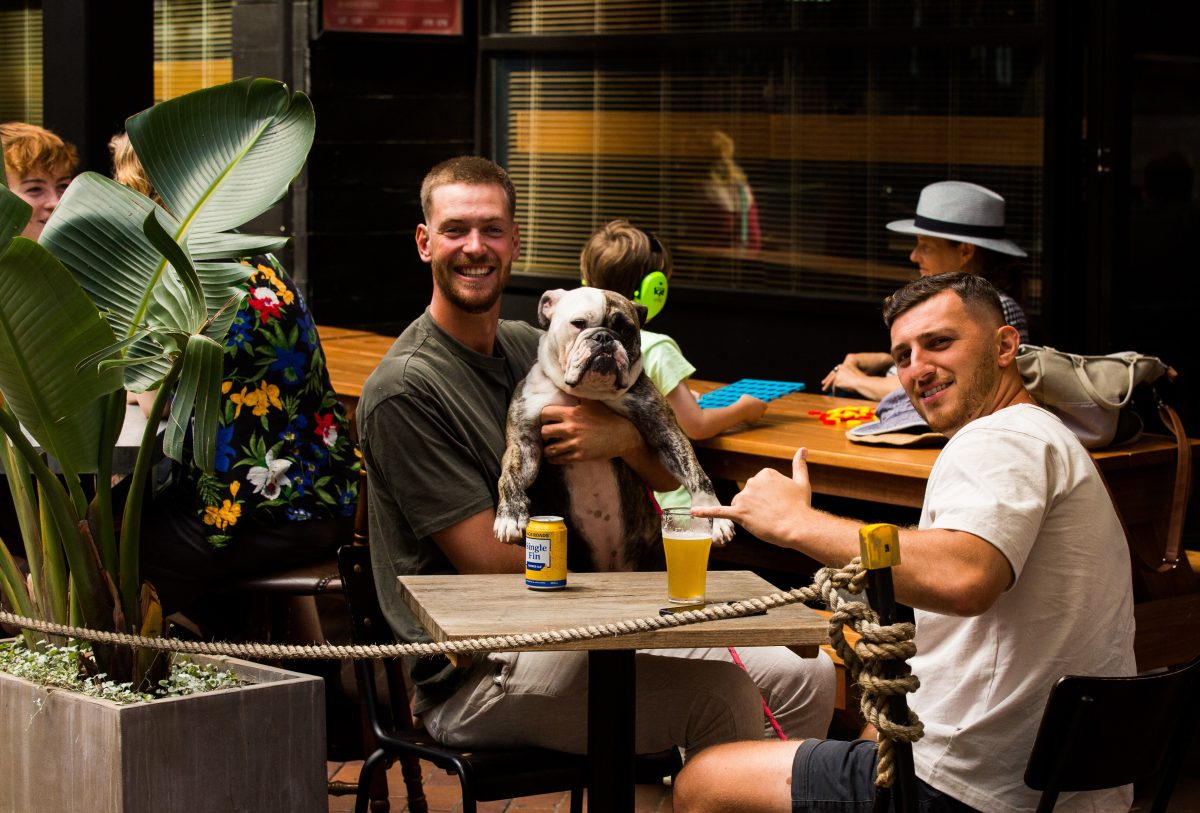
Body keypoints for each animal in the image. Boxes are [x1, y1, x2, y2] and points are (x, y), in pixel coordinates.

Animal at [492, 286, 734, 573]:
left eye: (626, 329)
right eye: (578, 324)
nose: (604, 338)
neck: (587, 393)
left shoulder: (666, 432)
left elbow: (696, 474)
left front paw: (713, 516)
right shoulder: (524, 442)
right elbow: (509, 478)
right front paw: (509, 516)